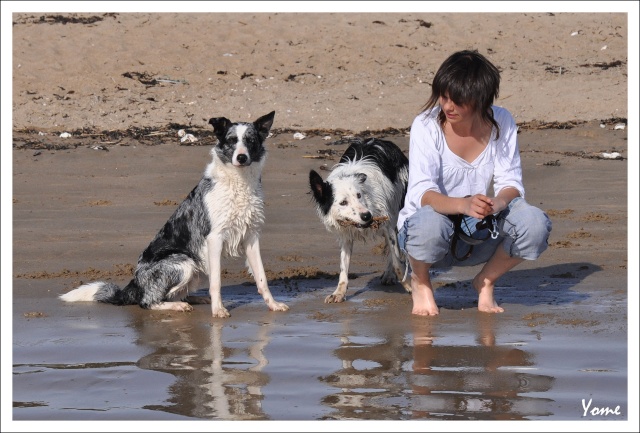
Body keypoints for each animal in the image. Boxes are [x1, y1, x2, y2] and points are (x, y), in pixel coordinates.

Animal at [60, 110, 290, 318]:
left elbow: (262, 278)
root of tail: (133, 285)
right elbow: (217, 282)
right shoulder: (214, 238)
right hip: (184, 262)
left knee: (175, 293)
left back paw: (196, 299)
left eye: (250, 141)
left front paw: (273, 304)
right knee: (148, 301)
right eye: (232, 140)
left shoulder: (251, 237)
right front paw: (218, 310)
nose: (241, 157)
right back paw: (177, 305)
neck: (238, 182)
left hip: (198, 266)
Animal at [308, 138, 410, 300]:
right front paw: (339, 292)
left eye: (358, 195)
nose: (367, 216)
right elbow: (343, 267)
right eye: (343, 202)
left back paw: (389, 275)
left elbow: (397, 260)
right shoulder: (345, 234)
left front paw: (409, 285)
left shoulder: (387, 224)